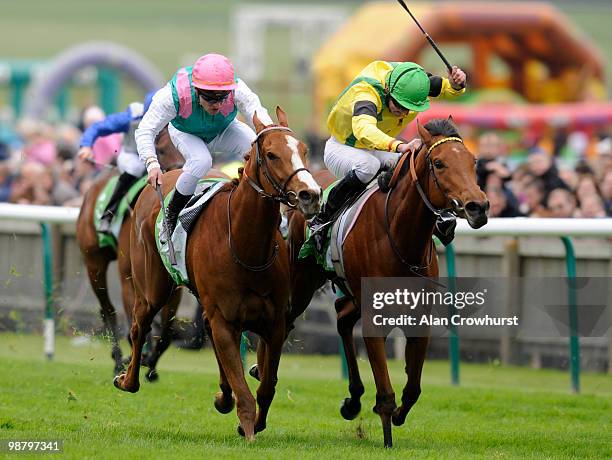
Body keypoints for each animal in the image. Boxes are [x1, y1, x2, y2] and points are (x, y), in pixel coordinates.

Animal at [76, 126, 184, 378]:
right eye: (161, 150)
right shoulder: (128, 274)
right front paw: (137, 356)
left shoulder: (175, 281)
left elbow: (167, 328)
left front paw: (151, 362)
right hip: (94, 263)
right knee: (108, 310)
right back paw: (117, 358)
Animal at [113, 108, 322, 442]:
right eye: (272, 154)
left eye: (303, 150)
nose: (310, 194)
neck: (246, 246)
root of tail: (164, 178)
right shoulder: (225, 320)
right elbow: (246, 393)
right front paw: (248, 429)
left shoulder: (274, 322)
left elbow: (266, 386)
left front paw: (251, 420)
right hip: (152, 287)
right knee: (139, 325)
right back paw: (127, 379)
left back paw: (223, 396)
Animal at [284, 117, 490, 446]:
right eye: (439, 163)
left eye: (473, 161)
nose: (478, 207)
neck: (399, 235)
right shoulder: (375, 317)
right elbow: (386, 388)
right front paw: (387, 432)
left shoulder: (418, 316)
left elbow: (413, 387)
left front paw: (397, 415)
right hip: (302, 282)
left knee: (342, 317)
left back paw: (353, 399)